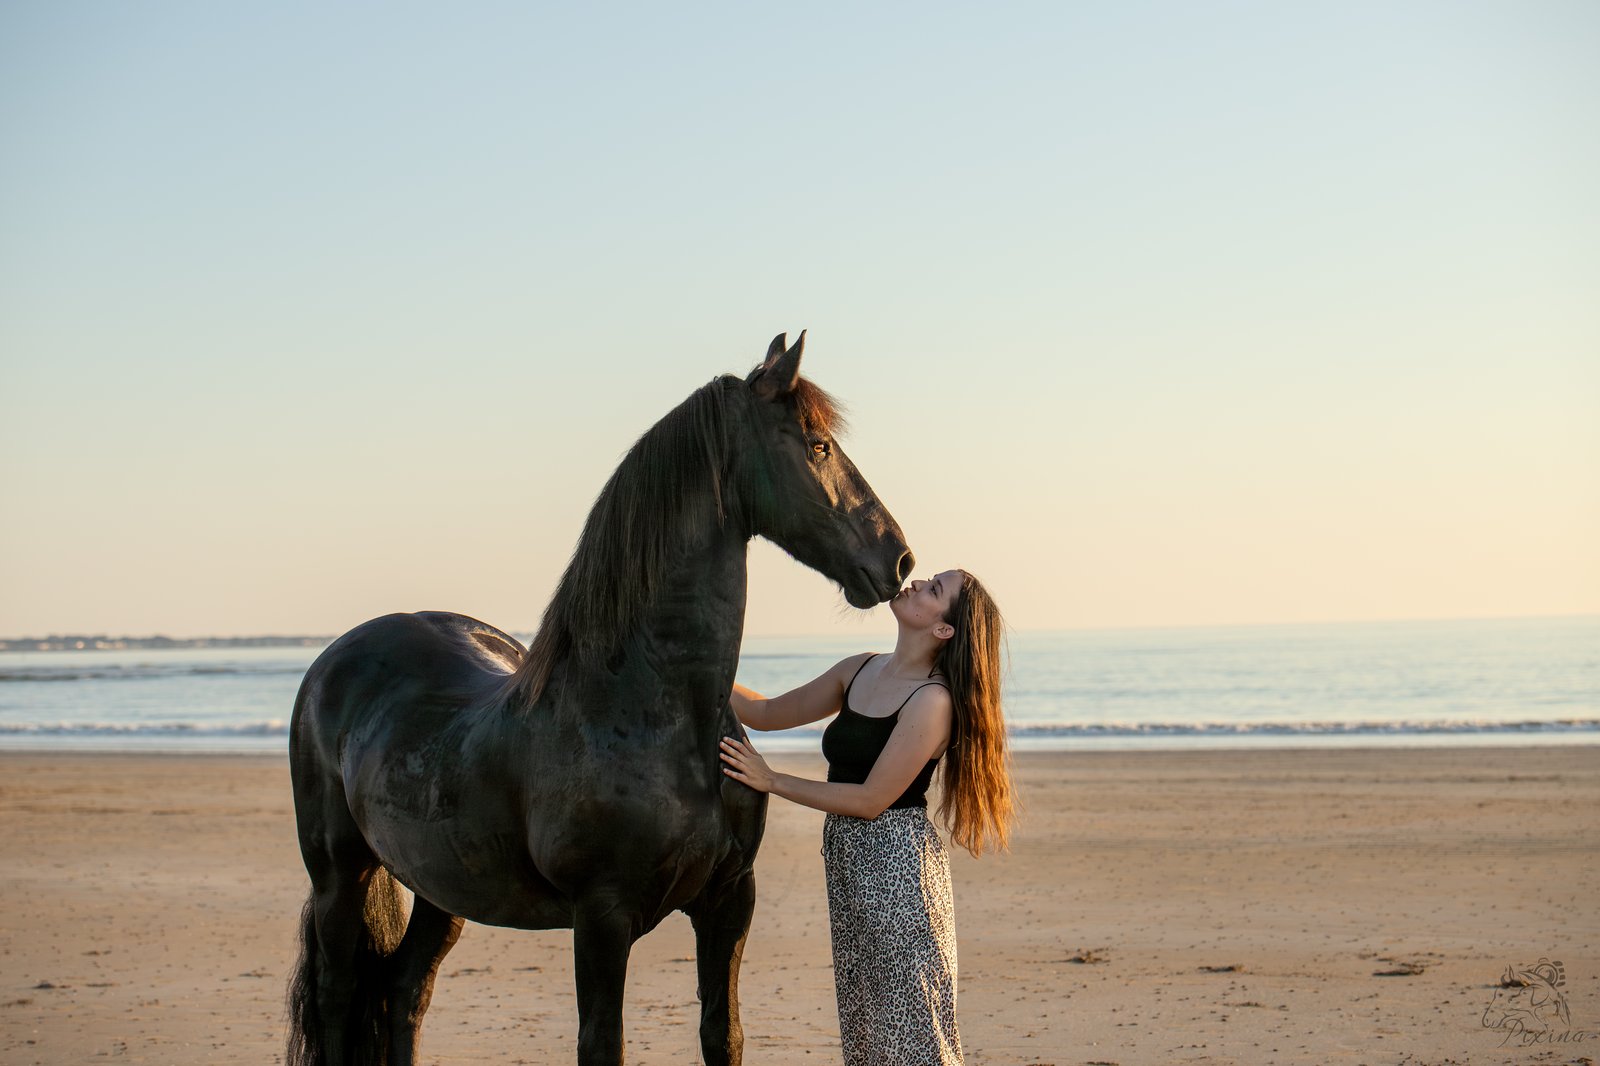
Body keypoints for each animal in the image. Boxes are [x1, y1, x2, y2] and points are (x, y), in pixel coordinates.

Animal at [286, 332, 913, 1066]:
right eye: (817, 446)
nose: (899, 559)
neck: (653, 710)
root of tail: (335, 660)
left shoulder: (729, 902)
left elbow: (721, 1034)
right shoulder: (603, 918)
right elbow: (601, 1042)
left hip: (441, 886)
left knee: (406, 989)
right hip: (339, 876)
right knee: (338, 995)